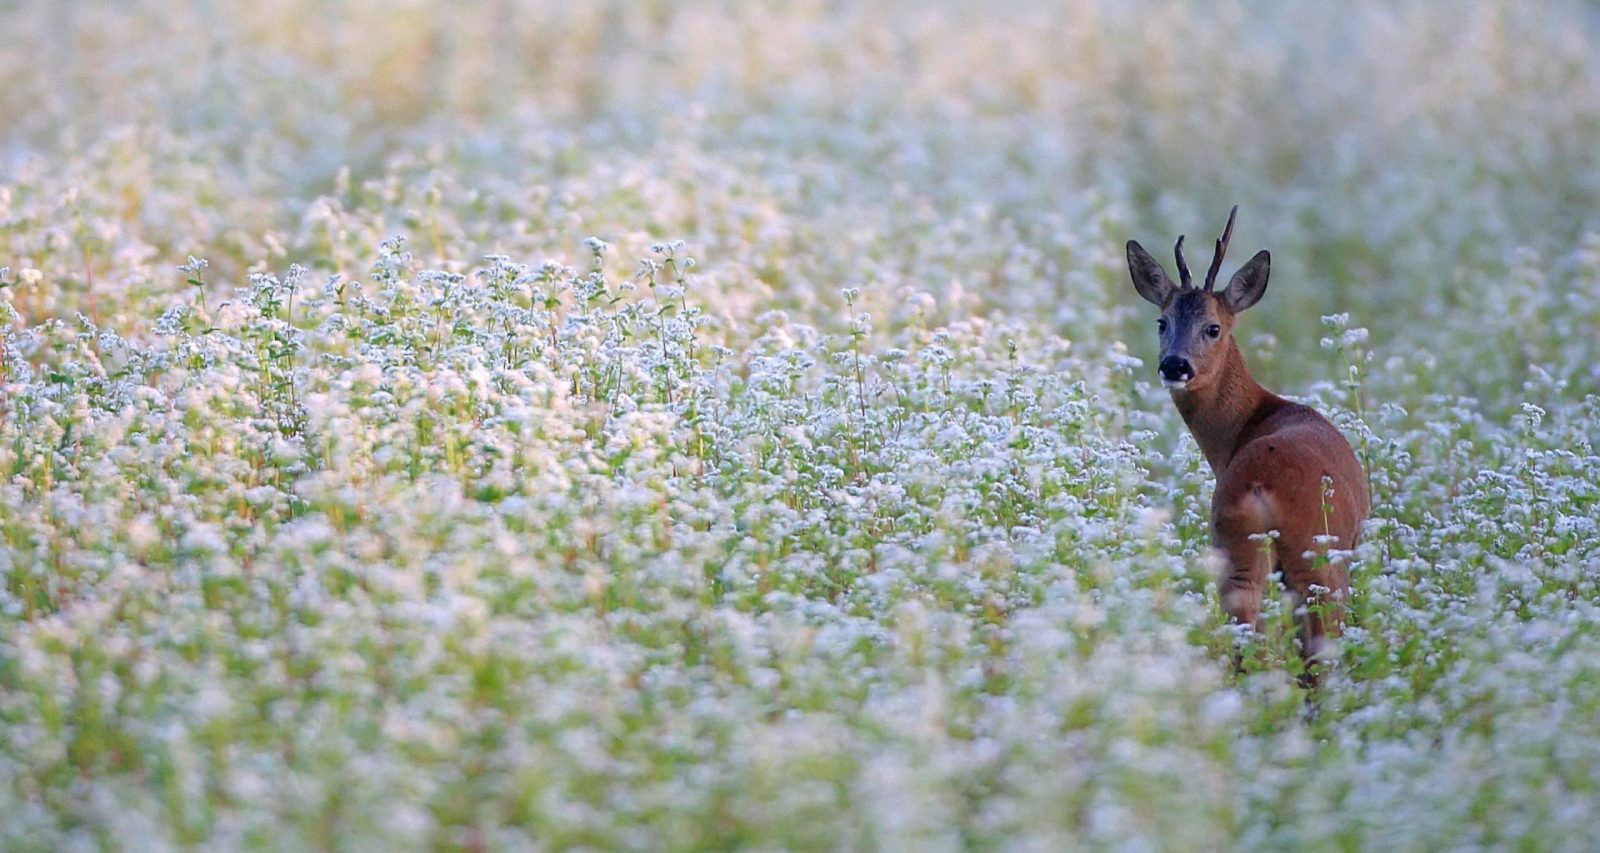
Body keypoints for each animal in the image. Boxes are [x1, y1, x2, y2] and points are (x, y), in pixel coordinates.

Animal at [1126, 209, 1376, 688]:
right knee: (1318, 654)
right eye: (1162, 322)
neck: (1252, 420)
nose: (1175, 365)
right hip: (1317, 553)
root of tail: (1261, 484)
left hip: (1234, 545)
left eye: (1213, 327)